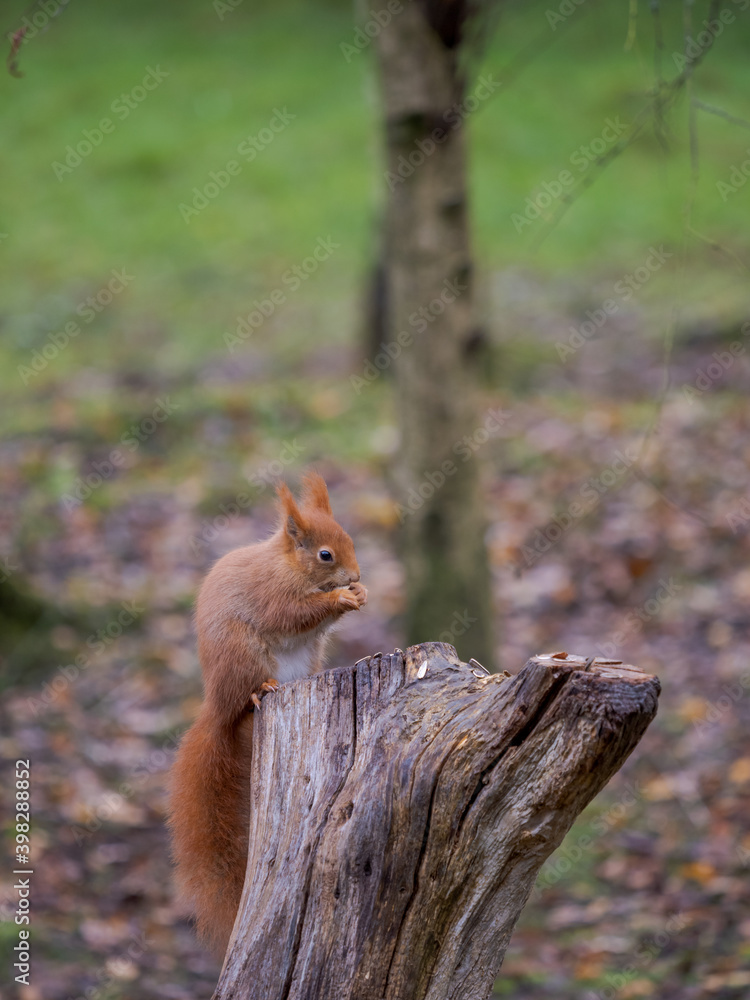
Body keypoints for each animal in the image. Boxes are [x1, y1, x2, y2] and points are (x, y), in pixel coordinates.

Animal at [167, 473, 367, 956]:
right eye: (325, 554)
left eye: (350, 540)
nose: (355, 576)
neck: (289, 567)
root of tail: (218, 707)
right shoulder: (272, 596)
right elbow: (295, 613)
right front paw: (343, 597)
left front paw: (360, 593)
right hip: (245, 655)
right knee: (249, 694)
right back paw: (263, 691)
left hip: (309, 659)